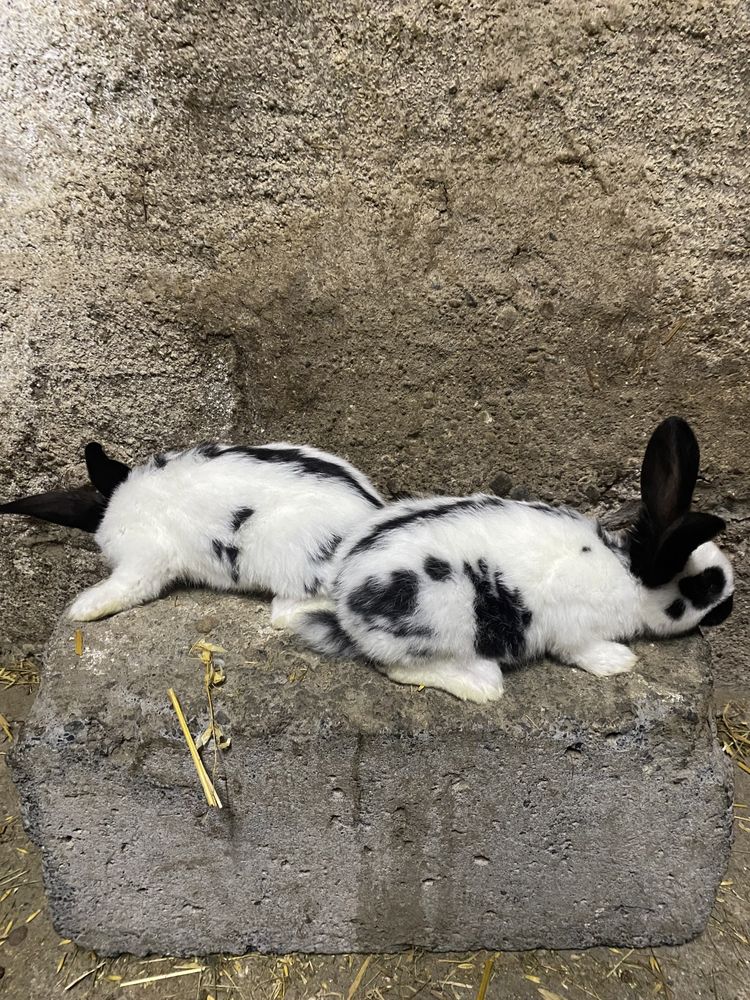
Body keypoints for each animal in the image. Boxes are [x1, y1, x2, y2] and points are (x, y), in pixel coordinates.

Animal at [292, 418, 736, 700]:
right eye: (705, 585)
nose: (728, 609)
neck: (630, 575)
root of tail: (345, 603)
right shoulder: (576, 630)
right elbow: (582, 652)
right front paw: (620, 662)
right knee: (399, 668)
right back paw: (483, 685)